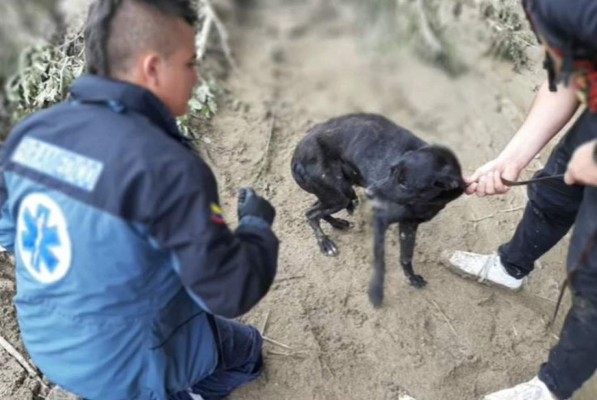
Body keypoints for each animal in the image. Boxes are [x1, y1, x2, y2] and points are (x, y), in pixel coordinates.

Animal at [292, 112, 464, 306]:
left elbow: (406, 257)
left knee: (315, 209)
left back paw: (338, 224)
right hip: (338, 195)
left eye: (404, 183)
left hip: (339, 193)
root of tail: (297, 153)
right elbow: (380, 261)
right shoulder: (381, 221)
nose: (369, 192)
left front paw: (411, 278)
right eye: (391, 170)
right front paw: (376, 293)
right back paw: (325, 243)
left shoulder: (409, 225)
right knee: (311, 213)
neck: (424, 203)